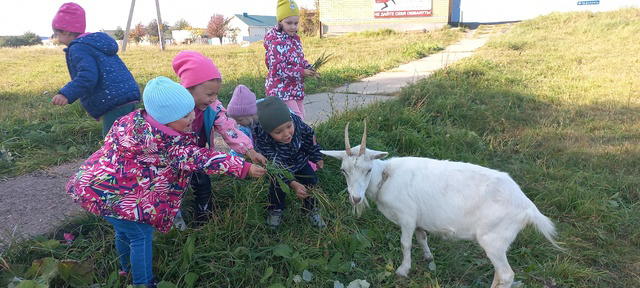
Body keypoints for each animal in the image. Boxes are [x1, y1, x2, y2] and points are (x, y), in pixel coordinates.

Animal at [322, 122, 564, 288]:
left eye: (368, 170)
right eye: (343, 170)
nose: (355, 198)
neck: (386, 177)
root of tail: (528, 207)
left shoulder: (407, 216)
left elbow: (405, 243)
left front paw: (403, 270)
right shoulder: (419, 220)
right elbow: (422, 237)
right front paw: (429, 258)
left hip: (493, 238)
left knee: (507, 274)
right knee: (500, 273)